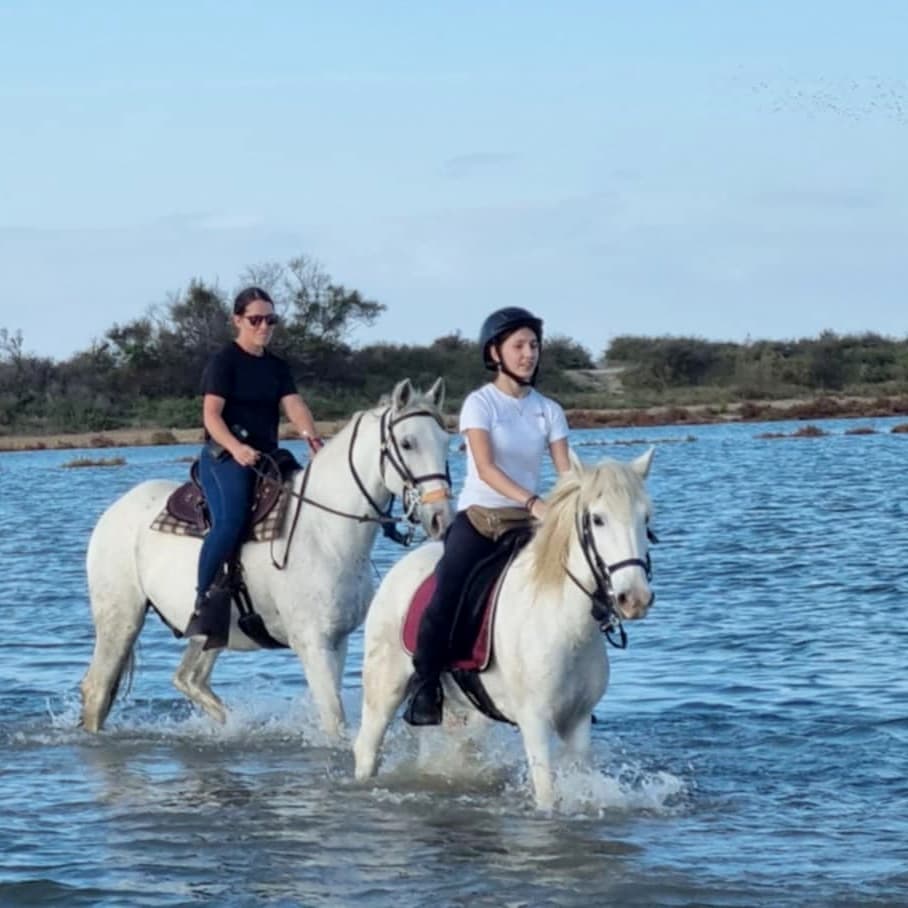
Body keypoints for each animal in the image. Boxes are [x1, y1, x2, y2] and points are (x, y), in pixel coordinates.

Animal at [80, 378, 454, 739]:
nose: (440, 518)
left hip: (209, 632)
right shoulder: (312, 644)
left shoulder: (338, 641)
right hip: (121, 619)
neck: (325, 531)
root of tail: (115, 510)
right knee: (98, 689)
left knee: (188, 679)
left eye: (445, 442)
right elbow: (335, 724)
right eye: (407, 443)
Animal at [353, 448, 656, 809]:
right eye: (597, 519)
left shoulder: (578, 722)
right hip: (384, 687)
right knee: (367, 748)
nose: (635, 599)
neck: (564, 624)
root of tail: (398, 570)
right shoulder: (535, 721)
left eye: (646, 519)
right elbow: (546, 793)